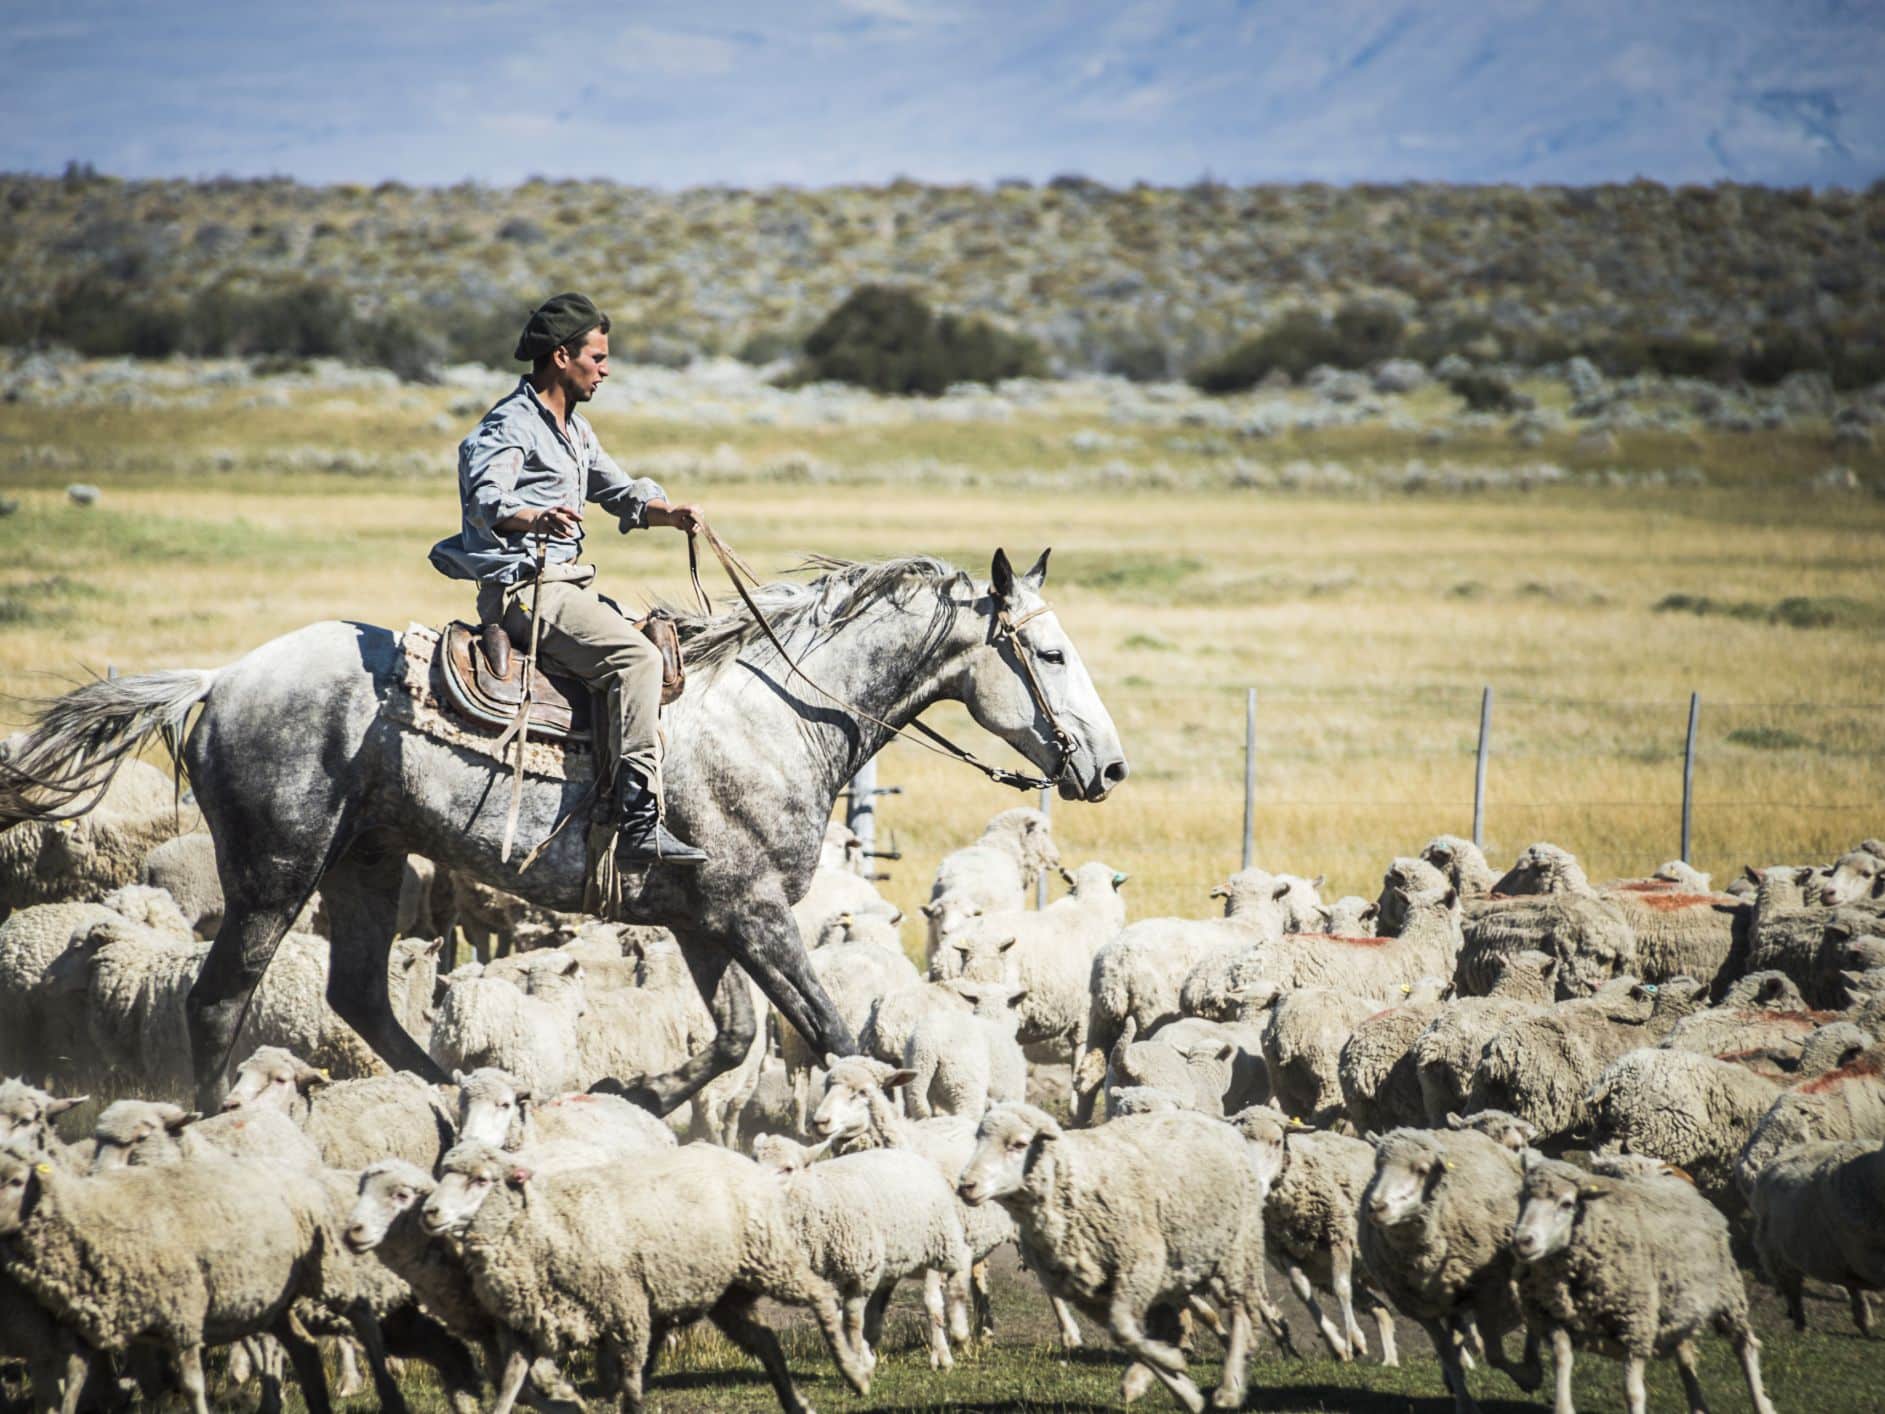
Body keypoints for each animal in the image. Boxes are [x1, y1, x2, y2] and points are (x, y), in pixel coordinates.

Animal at [1508, 1153, 1771, 1414]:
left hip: (1728, 1294)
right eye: (1521, 1197)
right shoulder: (1551, 1316)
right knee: (1686, 1354)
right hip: (1677, 1305)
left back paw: (1762, 1402)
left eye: (1566, 1204)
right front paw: (1563, 1406)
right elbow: (1562, 1358)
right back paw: (1697, 1406)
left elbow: (1632, 1392)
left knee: (1745, 1345)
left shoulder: (1635, 1325)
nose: (1522, 1241)